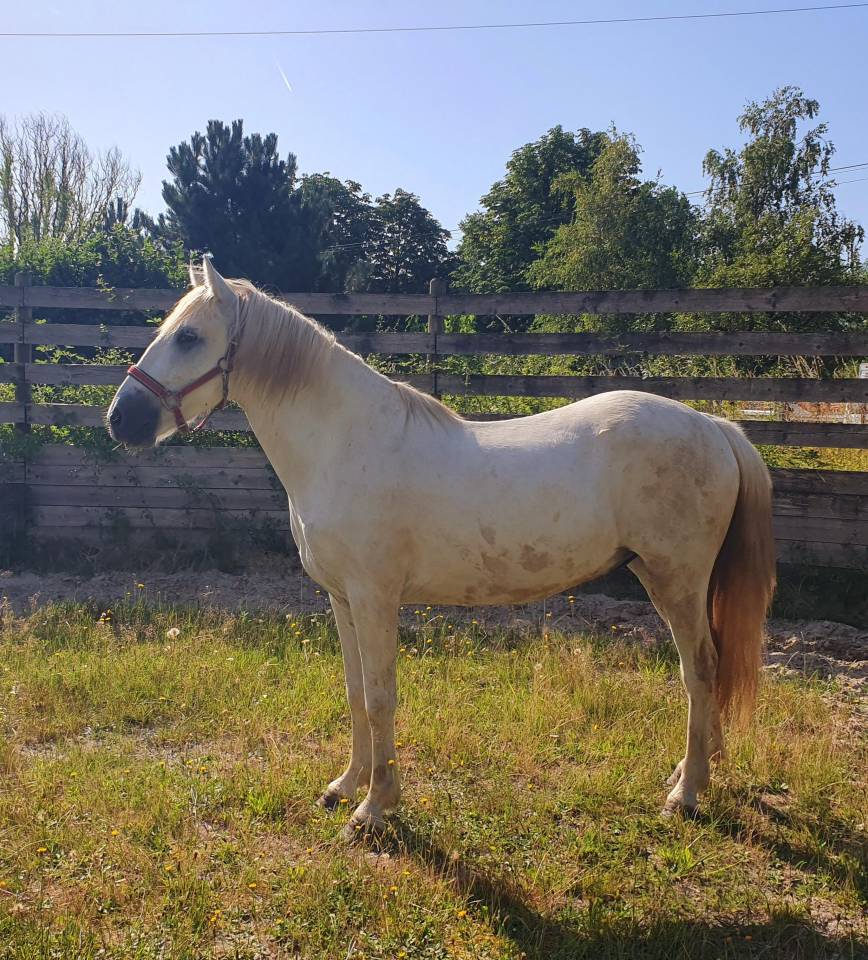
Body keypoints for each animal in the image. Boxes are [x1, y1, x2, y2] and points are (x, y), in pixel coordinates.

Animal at [107, 258, 776, 837]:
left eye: (189, 337)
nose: (121, 420)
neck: (343, 442)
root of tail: (715, 426)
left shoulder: (376, 599)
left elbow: (381, 698)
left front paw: (375, 809)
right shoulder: (342, 600)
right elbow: (356, 692)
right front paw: (345, 786)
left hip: (674, 579)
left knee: (700, 670)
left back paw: (686, 794)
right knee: (709, 670)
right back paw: (696, 772)